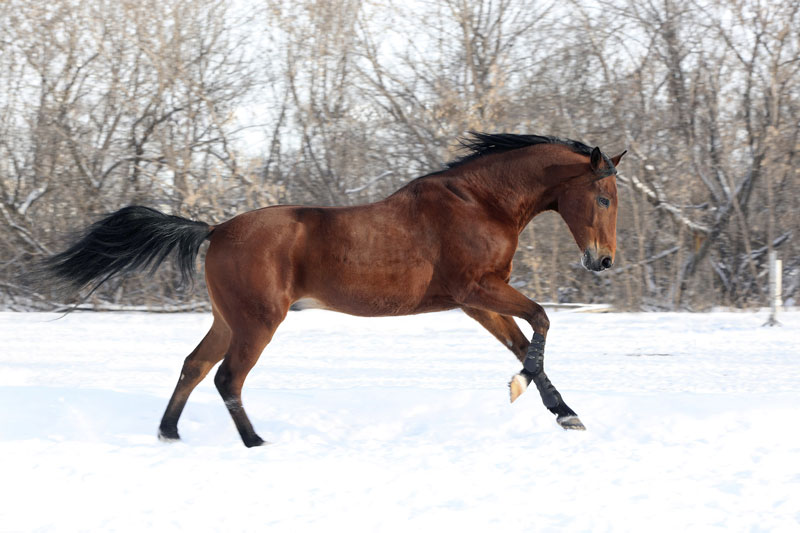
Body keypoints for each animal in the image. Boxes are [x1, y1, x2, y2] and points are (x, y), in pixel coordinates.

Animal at [39, 132, 624, 444]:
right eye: (603, 198)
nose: (603, 261)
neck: (480, 204)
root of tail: (215, 229)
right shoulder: (476, 290)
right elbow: (541, 321)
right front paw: (525, 391)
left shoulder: (476, 301)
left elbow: (525, 343)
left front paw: (564, 413)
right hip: (258, 322)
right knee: (227, 377)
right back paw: (256, 443)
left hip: (228, 319)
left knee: (194, 365)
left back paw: (170, 433)